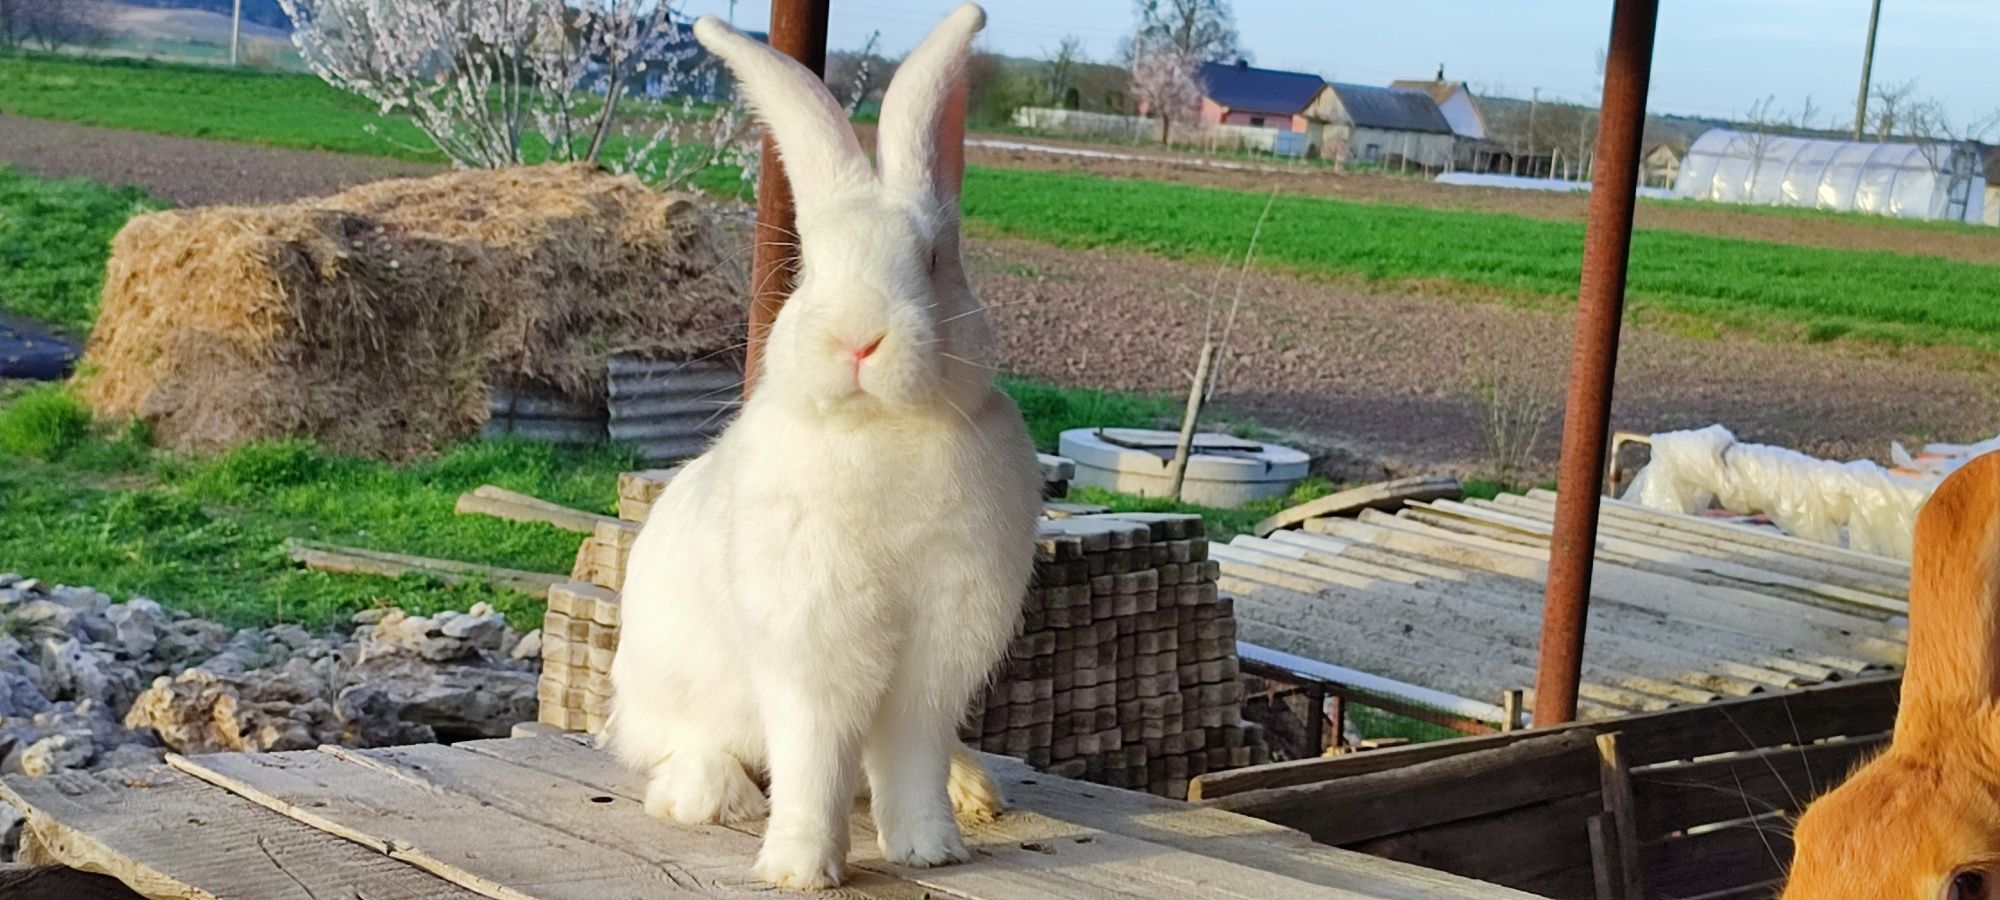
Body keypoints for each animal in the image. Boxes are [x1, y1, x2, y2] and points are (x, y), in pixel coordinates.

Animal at [604, 3, 1048, 892]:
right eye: (806, 264)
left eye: (935, 259)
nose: (859, 338)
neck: (879, 430)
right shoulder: (811, 645)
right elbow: (813, 756)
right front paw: (799, 869)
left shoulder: (934, 659)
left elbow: (908, 755)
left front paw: (931, 847)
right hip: (667, 691)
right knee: (677, 751)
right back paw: (716, 795)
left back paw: (974, 787)